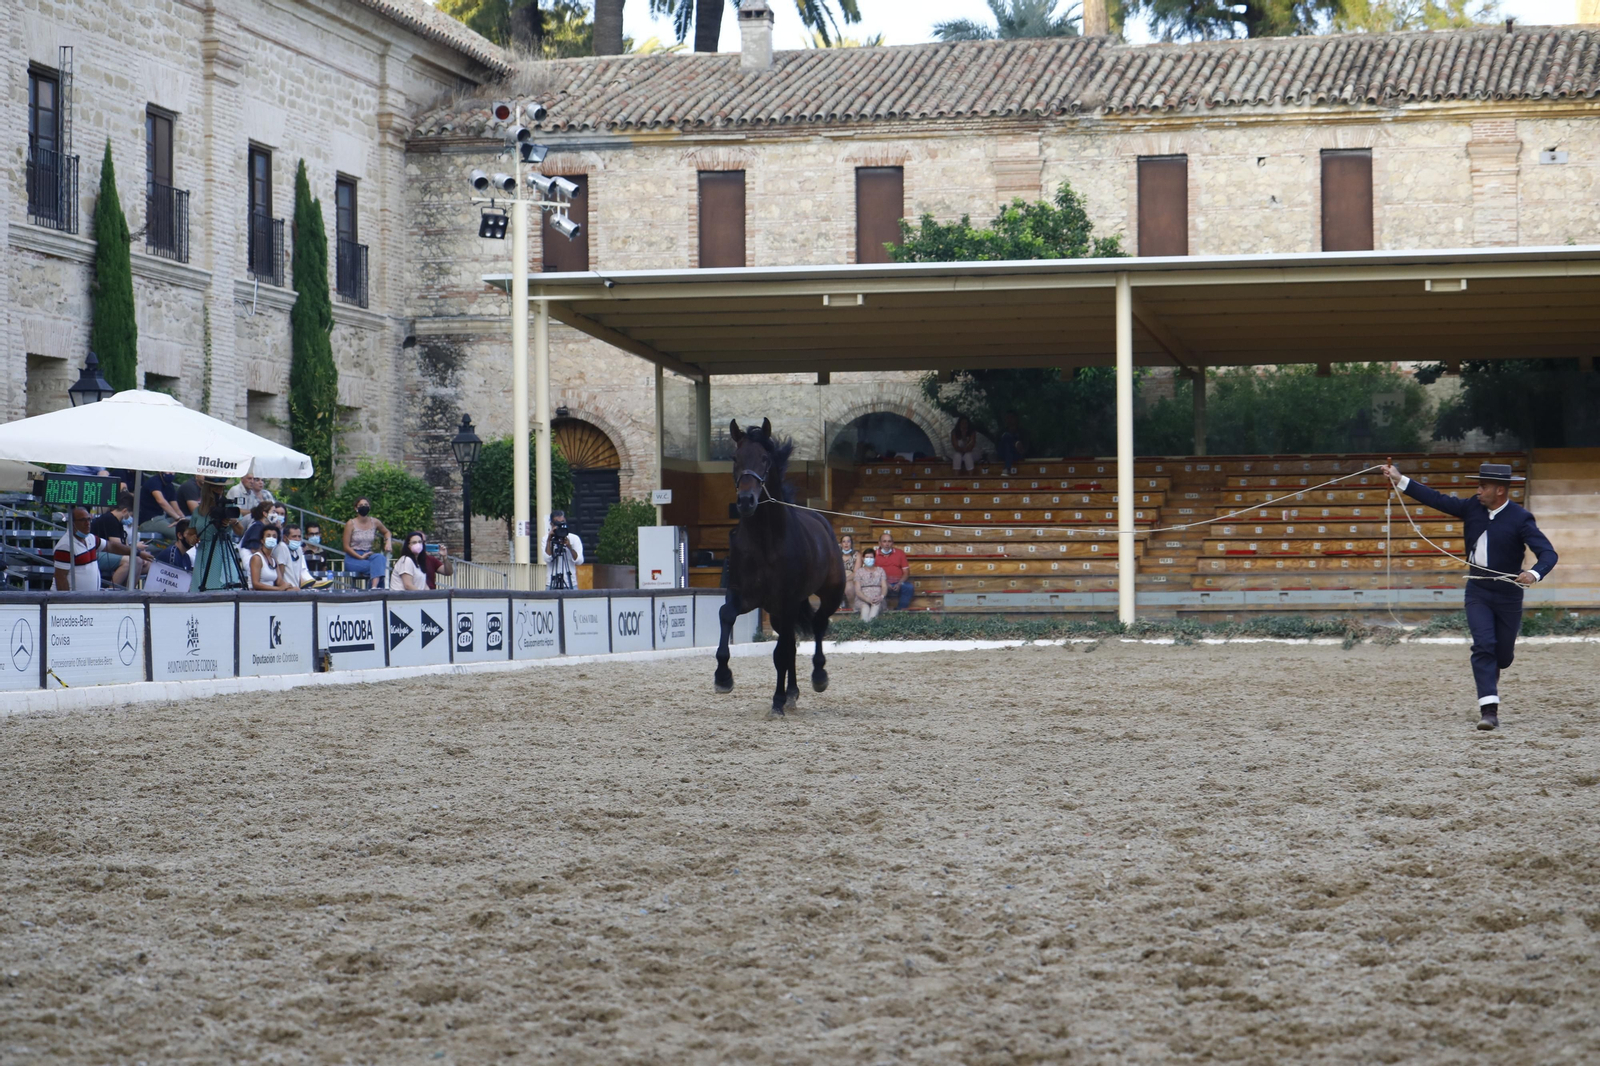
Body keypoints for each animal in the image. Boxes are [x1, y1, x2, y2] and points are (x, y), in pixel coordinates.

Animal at [714, 418, 847, 716]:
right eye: (735, 458)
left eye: (765, 458)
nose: (746, 501)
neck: (765, 540)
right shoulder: (744, 594)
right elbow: (726, 615)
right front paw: (723, 677)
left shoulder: (787, 601)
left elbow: (781, 653)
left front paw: (777, 701)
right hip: (776, 612)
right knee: (792, 645)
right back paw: (792, 694)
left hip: (829, 594)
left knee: (817, 625)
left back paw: (817, 677)